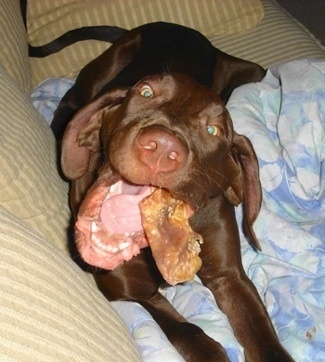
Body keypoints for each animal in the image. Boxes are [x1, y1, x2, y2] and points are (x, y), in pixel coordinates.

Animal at [53, 23, 292, 362]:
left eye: (214, 130)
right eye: (145, 93)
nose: (162, 148)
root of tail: (175, 26)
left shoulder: (230, 277)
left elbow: (264, 338)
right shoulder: (130, 292)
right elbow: (187, 331)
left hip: (254, 71)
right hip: (112, 61)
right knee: (70, 98)